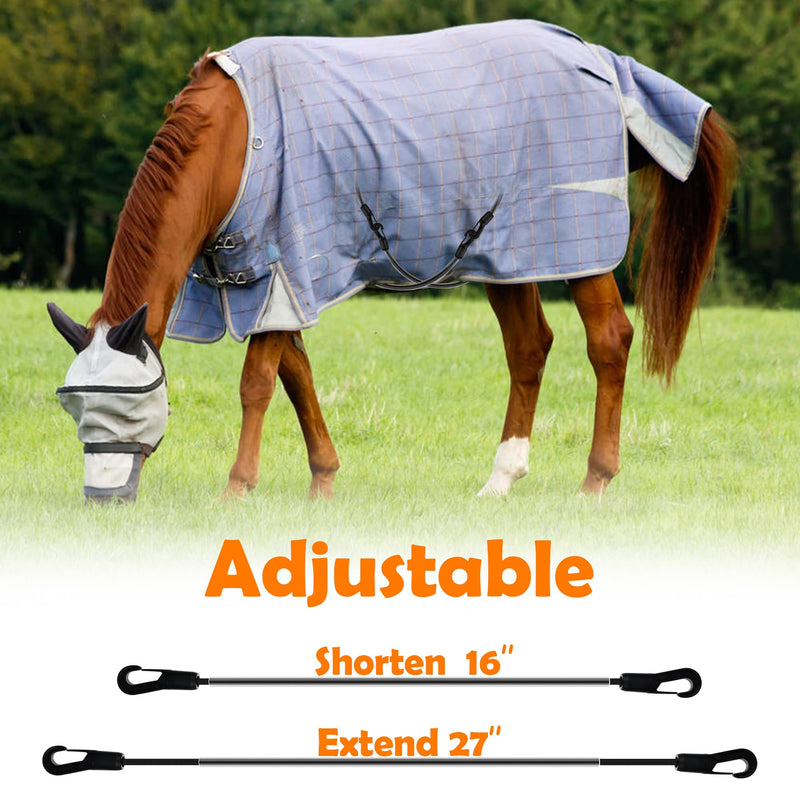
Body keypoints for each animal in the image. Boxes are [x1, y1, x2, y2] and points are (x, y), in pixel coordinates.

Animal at [48, 20, 737, 503]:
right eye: (75, 409)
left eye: (128, 406)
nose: (102, 500)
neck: (234, 137)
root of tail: (601, 60)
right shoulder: (277, 283)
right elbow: (297, 375)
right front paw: (323, 479)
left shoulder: (278, 271)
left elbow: (257, 384)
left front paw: (237, 488)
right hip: (505, 256)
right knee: (529, 348)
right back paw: (500, 479)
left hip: (577, 246)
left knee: (609, 340)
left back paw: (596, 479)